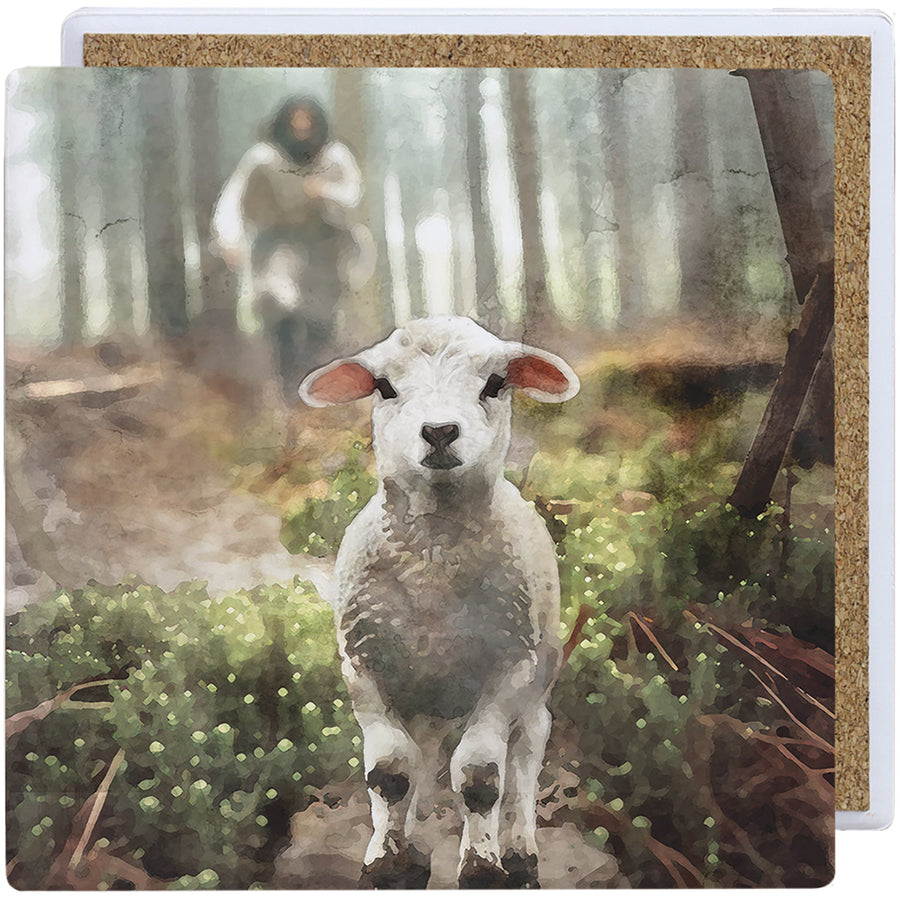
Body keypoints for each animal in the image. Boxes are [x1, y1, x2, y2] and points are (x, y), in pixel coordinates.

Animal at [299, 316, 580, 889]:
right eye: (384, 387)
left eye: (494, 383)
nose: (439, 432)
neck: (432, 568)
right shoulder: (362, 665)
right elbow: (390, 771)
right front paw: (388, 860)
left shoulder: (508, 667)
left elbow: (480, 776)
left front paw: (482, 866)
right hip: (423, 691)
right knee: (422, 757)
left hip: (539, 671)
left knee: (526, 755)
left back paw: (520, 850)